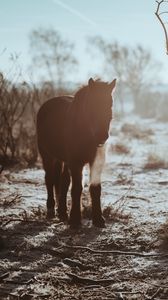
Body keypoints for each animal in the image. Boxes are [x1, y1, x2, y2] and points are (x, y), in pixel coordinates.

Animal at [36, 78, 116, 227]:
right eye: (91, 104)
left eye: (110, 104)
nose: (102, 136)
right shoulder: (75, 162)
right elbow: (77, 188)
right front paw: (74, 219)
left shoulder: (96, 162)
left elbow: (95, 188)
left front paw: (98, 219)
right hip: (47, 156)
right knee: (49, 179)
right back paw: (51, 210)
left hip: (63, 160)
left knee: (63, 181)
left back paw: (62, 212)